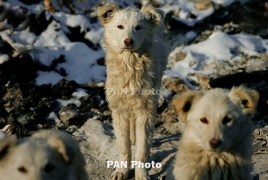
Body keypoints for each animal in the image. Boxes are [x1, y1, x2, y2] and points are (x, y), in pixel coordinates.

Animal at [97, 3, 169, 180]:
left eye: (138, 27)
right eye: (120, 26)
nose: (128, 41)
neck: (130, 65)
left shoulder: (146, 110)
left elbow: (142, 150)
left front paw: (141, 175)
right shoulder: (119, 110)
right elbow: (123, 145)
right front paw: (121, 171)